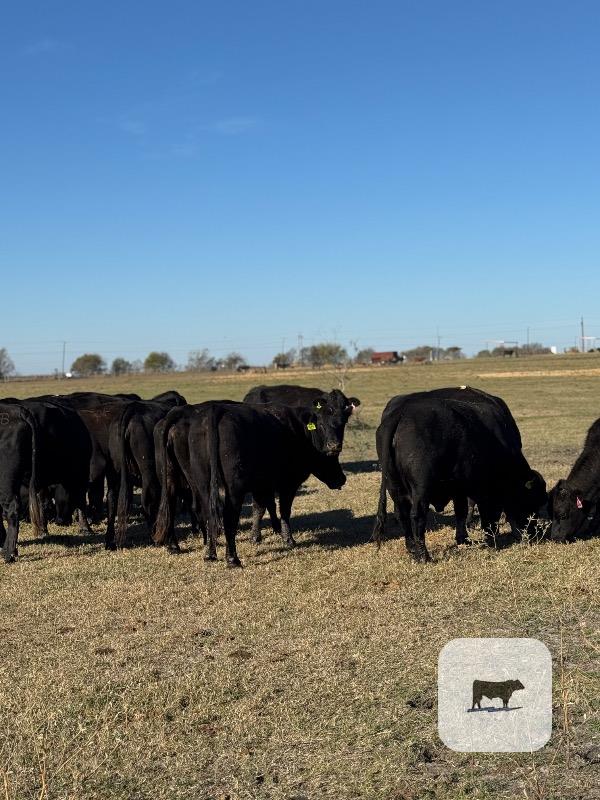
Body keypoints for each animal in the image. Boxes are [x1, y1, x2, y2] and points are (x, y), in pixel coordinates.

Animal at [153, 400, 346, 565]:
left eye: (340, 425)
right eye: (321, 425)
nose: (334, 446)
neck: (298, 429)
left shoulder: (261, 485)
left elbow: (259, 509)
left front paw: (256, 537)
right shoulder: (287, 483)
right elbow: (283, 510)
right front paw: (288, 539)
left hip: (193, 483)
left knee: (199, 512)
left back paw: (206, 553)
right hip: (233, 489)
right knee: (229, 517)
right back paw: (232, 558)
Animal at [373, 390, 547, 561]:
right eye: (531, 502)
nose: (535, 533)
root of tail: (402, 414)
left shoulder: (460, 489)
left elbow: (461, 512)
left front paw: (464, 539)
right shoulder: (482, 490)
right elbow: (487, 514)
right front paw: (490, 538)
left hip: (395, 487)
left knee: (402, 515)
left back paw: (411, 549)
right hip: (421, 490)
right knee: (417, 516)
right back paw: (424, 555)